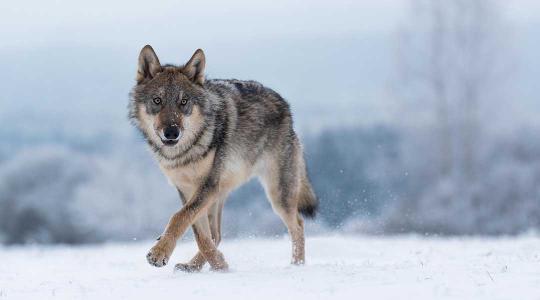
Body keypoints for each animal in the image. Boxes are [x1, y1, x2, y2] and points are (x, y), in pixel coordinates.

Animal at [129, 45, 318, 272]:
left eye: (183, 102)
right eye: (157, 101)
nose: (171, 133)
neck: (185, 153)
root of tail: (286, 107)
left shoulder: (207, 185)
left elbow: (179, 217)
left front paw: (159, 253)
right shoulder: (187, 189)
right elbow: (199, 233)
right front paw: (220, 264)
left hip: (277, 194)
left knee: (298, 225)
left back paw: (296, 265)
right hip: (221, 194)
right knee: (216, 235)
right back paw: (195, 266)